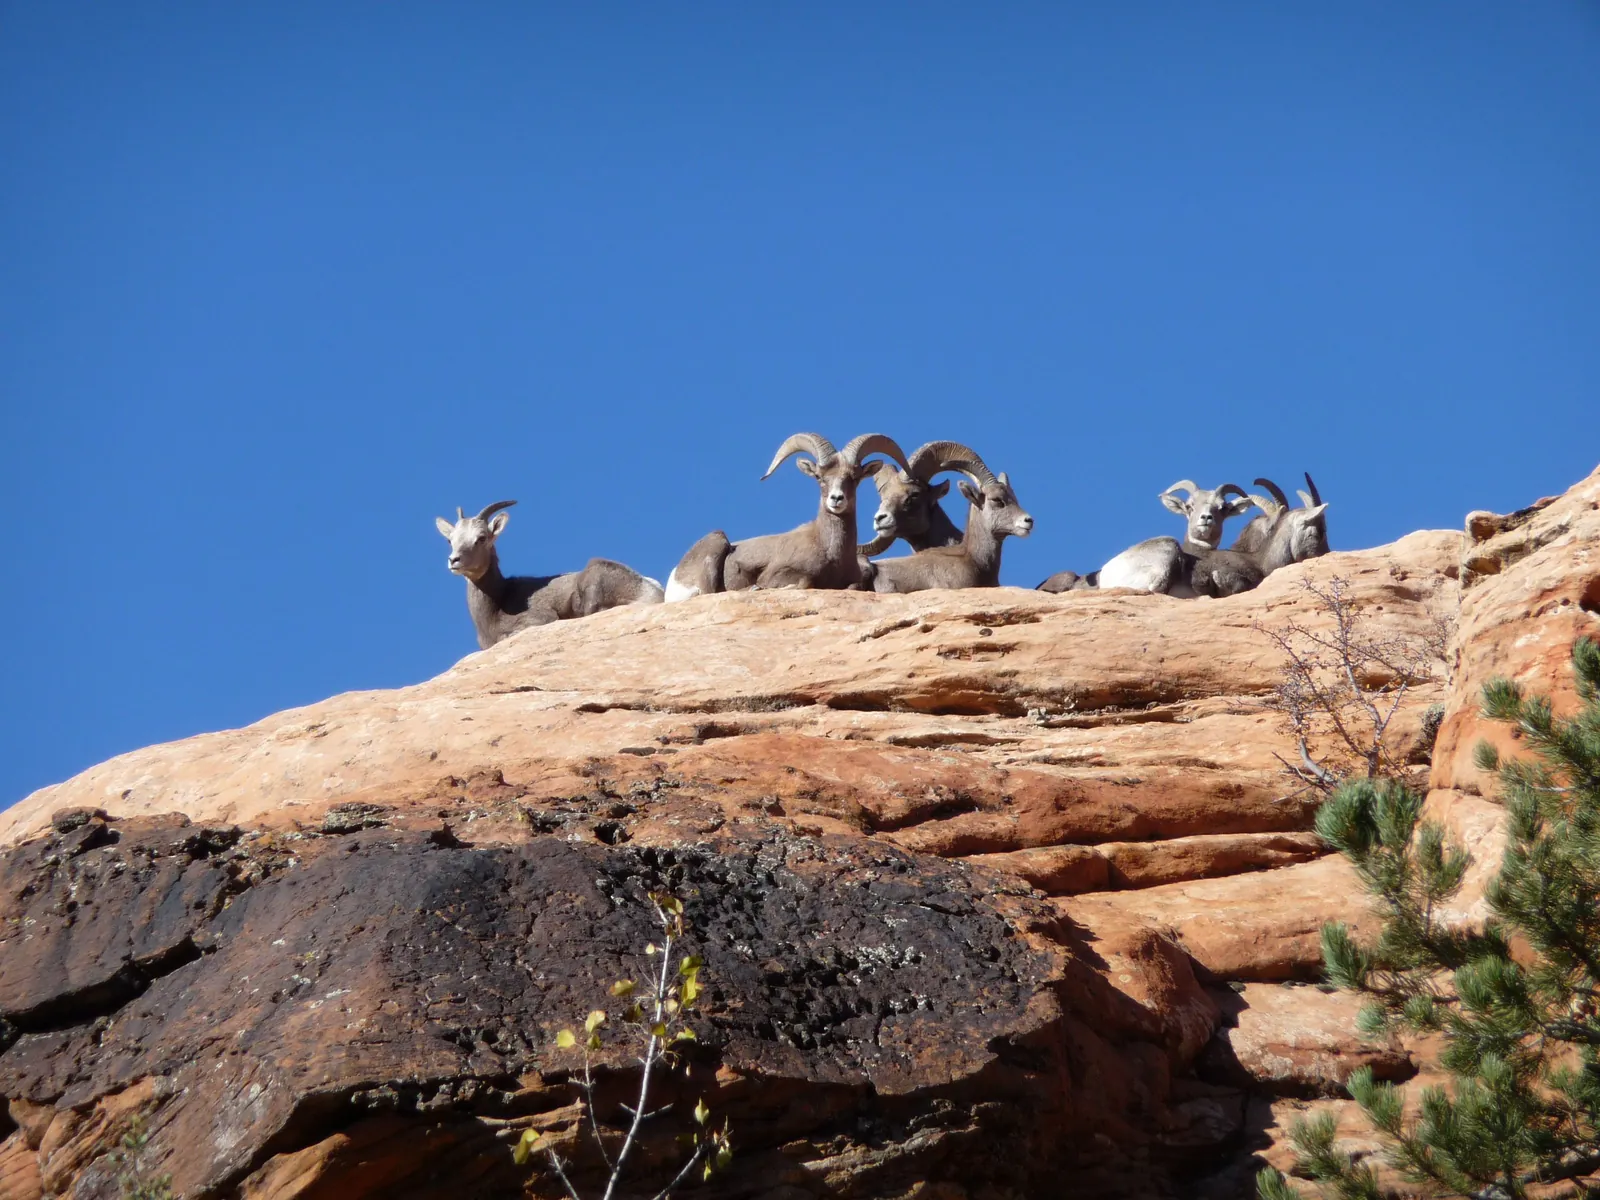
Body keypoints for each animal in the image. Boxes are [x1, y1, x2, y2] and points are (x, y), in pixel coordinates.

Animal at [663, 432, 911, 599]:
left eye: (854, 477)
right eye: (819, 477)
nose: (836, 499)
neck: (831, 551)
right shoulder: (777, 574)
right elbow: (804, 582)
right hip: (717, 540)